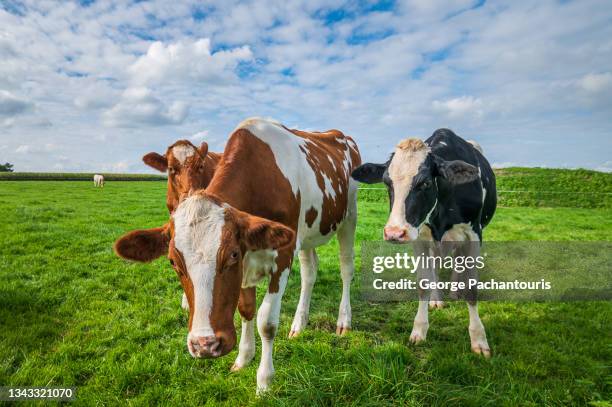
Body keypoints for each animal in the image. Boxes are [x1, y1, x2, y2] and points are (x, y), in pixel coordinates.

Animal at [113, 117, 360, 392]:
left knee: (346, 268)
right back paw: (299, 323)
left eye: (231, 255)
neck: (259, 180)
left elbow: (266, 321)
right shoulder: (250, 257)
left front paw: (264, 381)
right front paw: (244, 357)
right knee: (309, 272)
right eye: (173, 262)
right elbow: (246, 309)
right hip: (308, 233)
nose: (205, 345)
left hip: (349, 216)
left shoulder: (282, 255)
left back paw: (343, 321)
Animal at [350, 129, 498, 358]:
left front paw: (479, 340)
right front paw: (419, 329)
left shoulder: (473, 234)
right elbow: (423, 283)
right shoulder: (419, 237)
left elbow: (472, 288)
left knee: (457, 261)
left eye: (426, 183)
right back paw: (437, 299)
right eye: (387, 183)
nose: (394, 233)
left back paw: (454, 289)